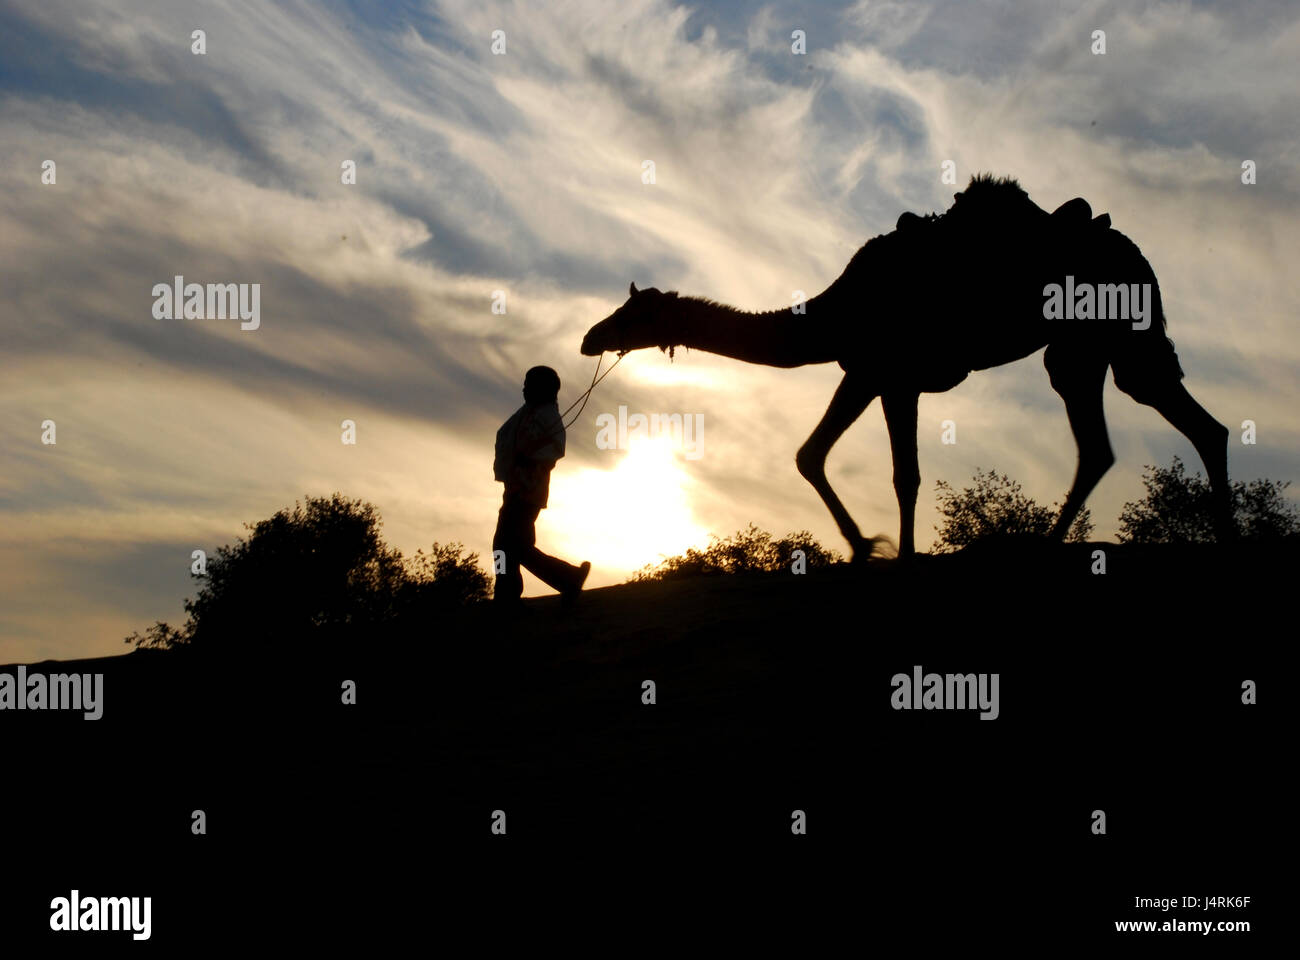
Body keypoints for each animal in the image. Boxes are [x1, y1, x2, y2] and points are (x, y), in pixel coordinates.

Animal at [579, 175, 1227, 556]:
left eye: (631, 313)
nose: (590, 338)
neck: (832, 312)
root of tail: (1130, 249)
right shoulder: (866, 372)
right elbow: (810, 453)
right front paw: (866, 545)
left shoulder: (894, 376)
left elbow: (904, 475)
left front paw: (897, 551)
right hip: (1099, 341)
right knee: (1172, 423)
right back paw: (1221, 537)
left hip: (1100, 331)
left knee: (1122, 425)